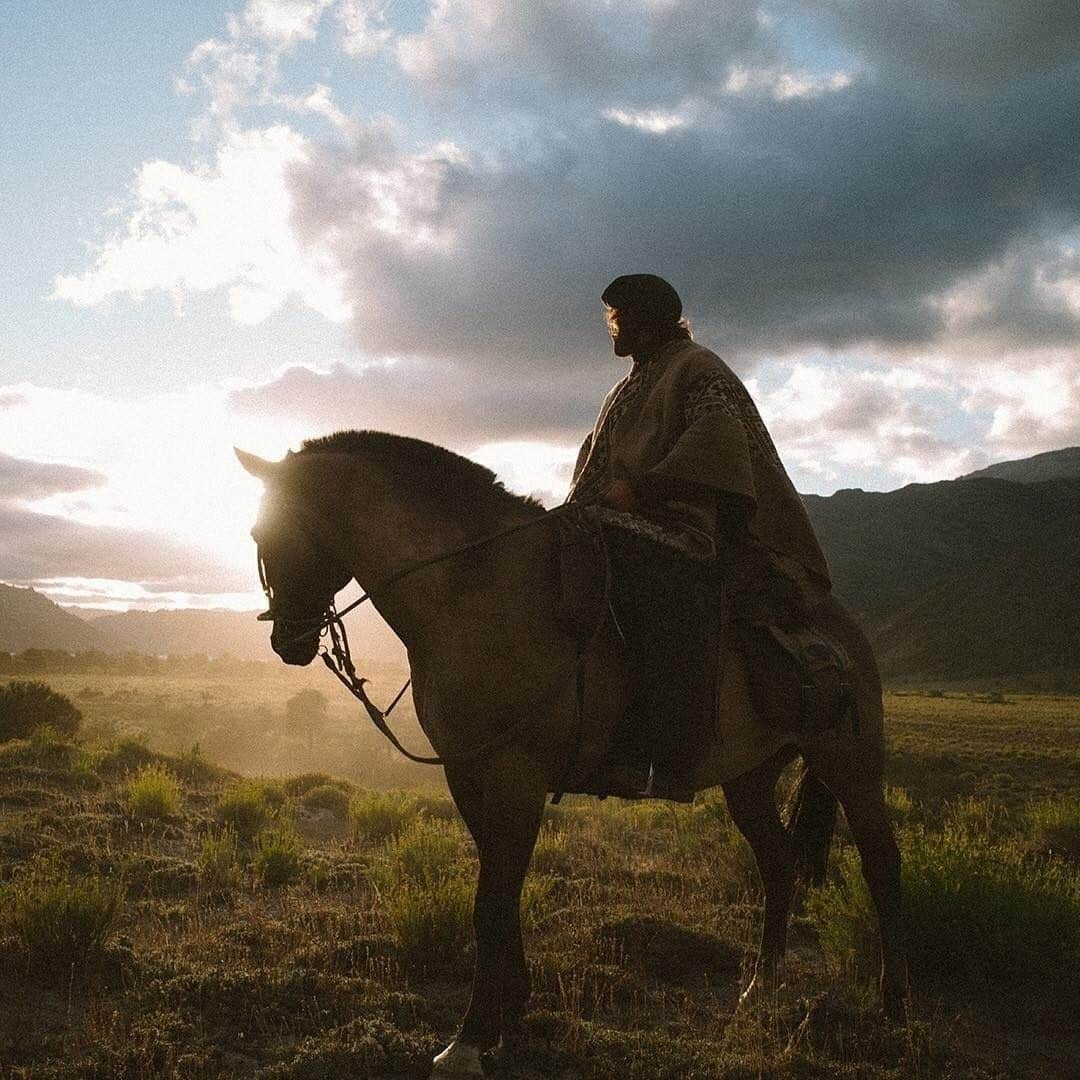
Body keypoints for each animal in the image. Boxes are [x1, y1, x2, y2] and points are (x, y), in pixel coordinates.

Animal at [238, 432, 911, 1080]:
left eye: (271, 533)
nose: (287, 641)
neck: (473, 589)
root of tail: (839, 625)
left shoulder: (516, 774)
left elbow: (491, 903)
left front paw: (468, 1042)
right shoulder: (468, 772)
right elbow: (500, 893)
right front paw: (510, 1014)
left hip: (849, 764)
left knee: (881, 864)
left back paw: (896, 1010)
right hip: (750, 778)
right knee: (777, 862)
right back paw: (760, 988)